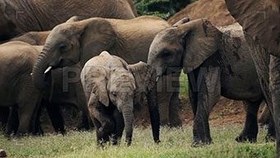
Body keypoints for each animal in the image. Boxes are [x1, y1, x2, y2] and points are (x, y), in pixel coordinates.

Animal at [31, 15, 182, 127]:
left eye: (63, 46)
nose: (47, 74)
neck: (80, 24)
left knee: (164, 92)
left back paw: (164, 125)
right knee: (174, 92)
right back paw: (175, 126)